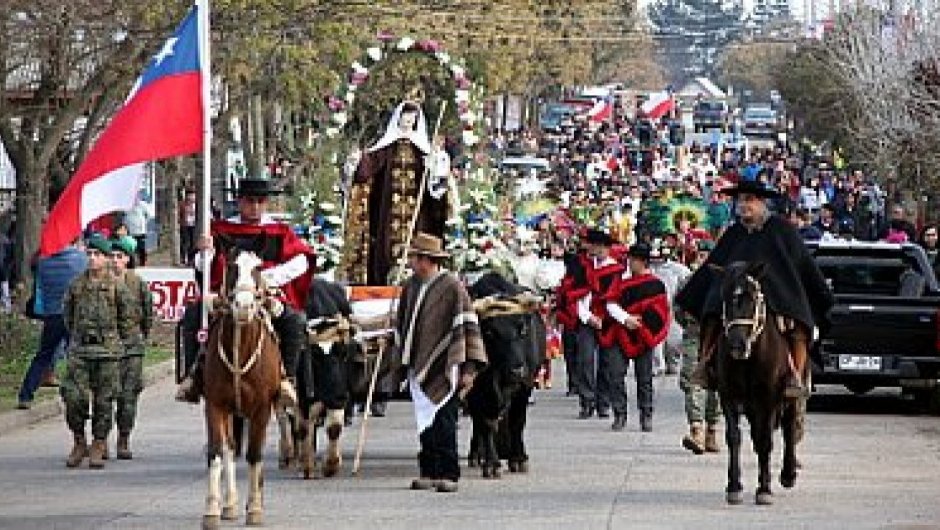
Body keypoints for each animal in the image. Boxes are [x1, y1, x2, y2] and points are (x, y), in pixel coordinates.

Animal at [204, 250, 280, 524]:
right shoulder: (215, 405)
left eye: (258, 269)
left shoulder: (262, 409)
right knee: (230, 448)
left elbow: (255, 454)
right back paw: (230, 503)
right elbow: (217, 452)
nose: (244, 307)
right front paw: (212, 509)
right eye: (232, 267)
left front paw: (255, 508)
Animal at [712, 262, 800, 506]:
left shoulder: (769, 398)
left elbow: (766, 440)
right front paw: (734, 486)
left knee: (789, 427)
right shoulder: (728, 395)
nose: (737, 345)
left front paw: (764, 488)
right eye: (724, 298)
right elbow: (734, 437)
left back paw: (788, 474)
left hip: (790, 395)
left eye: (753, 297)